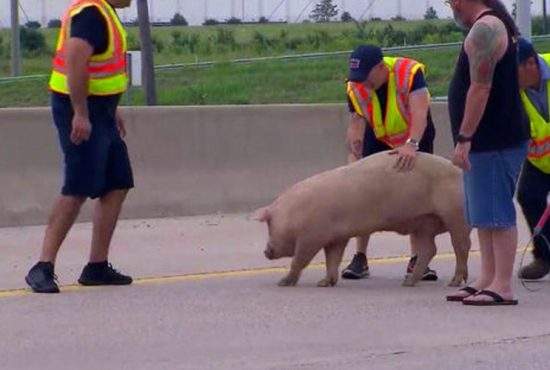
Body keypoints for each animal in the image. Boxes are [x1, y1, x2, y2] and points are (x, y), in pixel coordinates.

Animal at [256, 152, 472, 288]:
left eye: (269, 224)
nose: (266, 251)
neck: (295, 213)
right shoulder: (336, 237)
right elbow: (332, 259)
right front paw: (324, 283)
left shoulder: (311, 236)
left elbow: (300, 259)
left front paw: (283, 283)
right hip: (423, 224)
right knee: (429, 249)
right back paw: (408, 283)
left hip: (455, 215)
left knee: (461, 246)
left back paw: (454, 283)